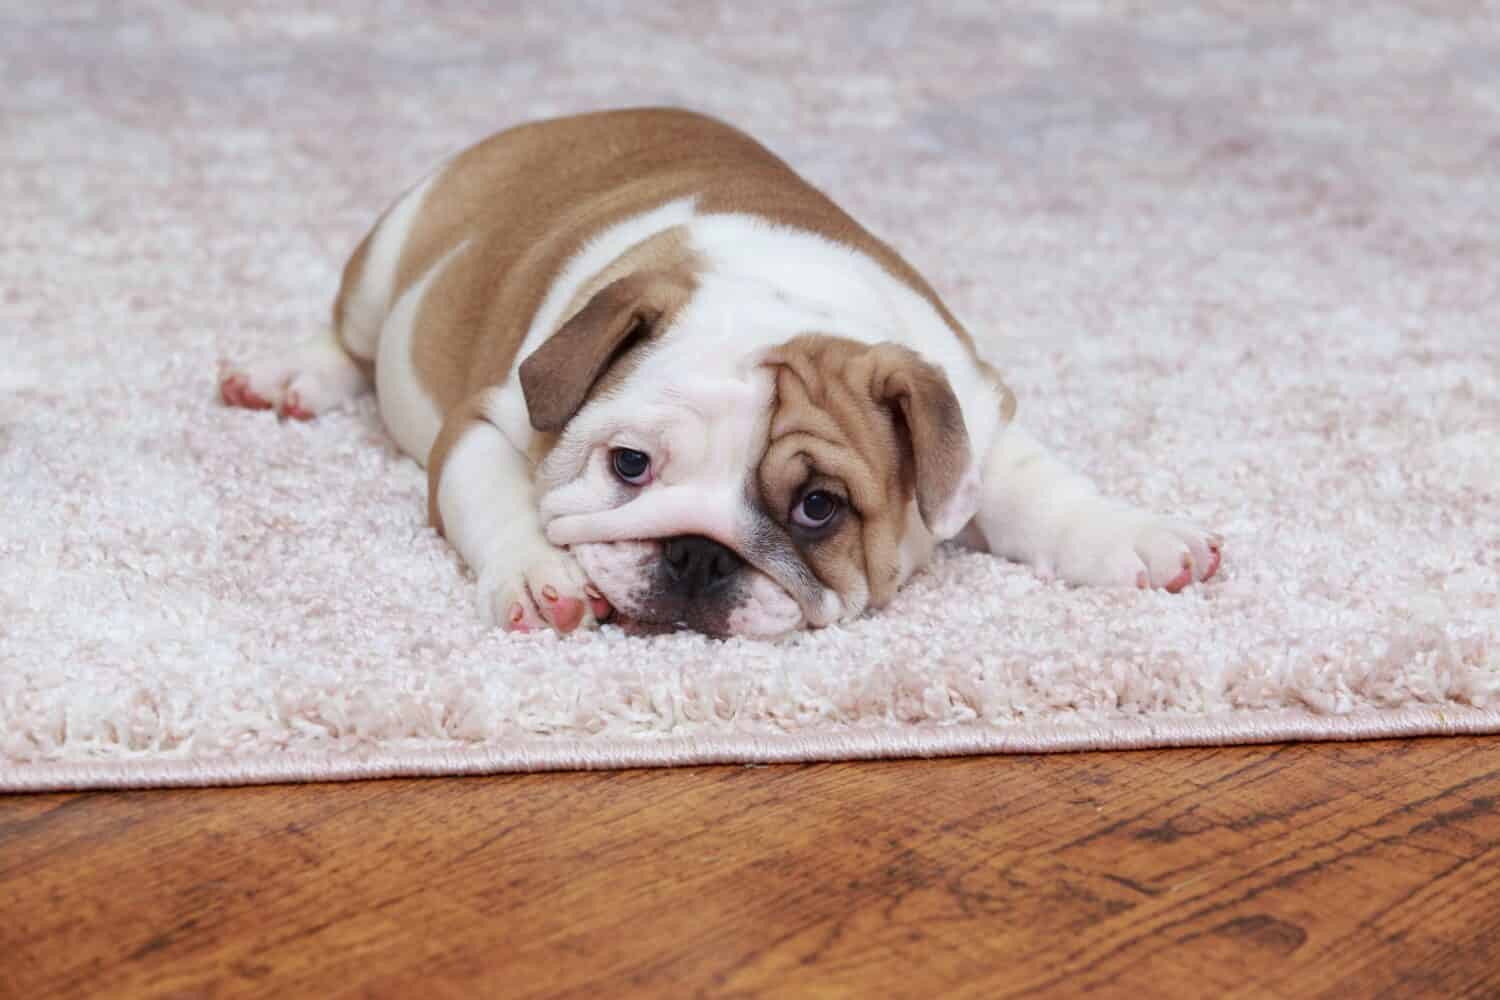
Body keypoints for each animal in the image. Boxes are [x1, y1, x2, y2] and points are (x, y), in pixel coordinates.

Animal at [217, 109, 1218, 641]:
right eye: (628, 466)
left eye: (818, 508)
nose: (697, 553)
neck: (779, 298)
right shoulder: (485, 425)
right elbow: (498, 499)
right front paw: (540, 577)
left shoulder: (976, 424)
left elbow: (1044, 492)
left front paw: (1136, 538)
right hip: (390, 252)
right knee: (345, 337)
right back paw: (286, 377)